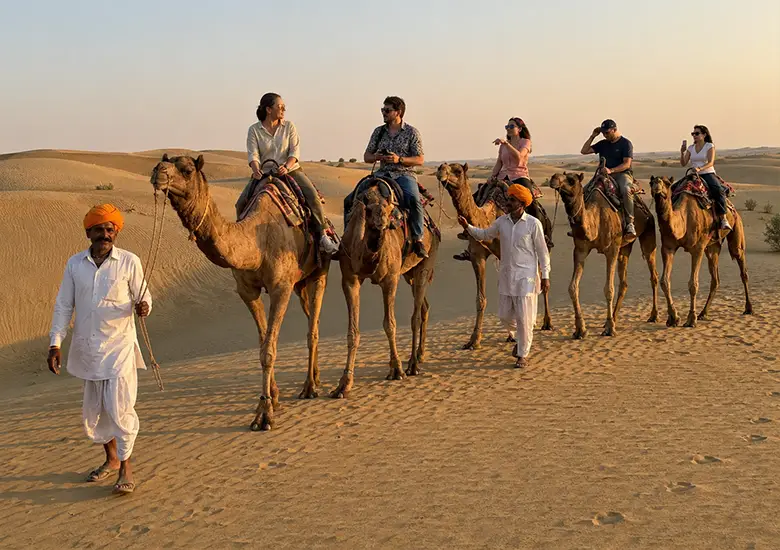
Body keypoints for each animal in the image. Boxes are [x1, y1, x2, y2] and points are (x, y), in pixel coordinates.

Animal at [151, 154, 331, 431]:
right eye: (166, 160)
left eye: (187, 169)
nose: (158, 171)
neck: (256, 243)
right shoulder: (247, 291)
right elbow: (262, 342)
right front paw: (273, 398)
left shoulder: (281, 287)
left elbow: (269, 350)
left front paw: (264, 415)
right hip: (301, 284)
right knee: (314, 319)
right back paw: (316, 378)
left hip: (319, 272)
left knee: (313, 329)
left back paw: (309, 387)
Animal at [330, 178, 439, 398]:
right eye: (369, 211)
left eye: (391, 211)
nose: (383, 225)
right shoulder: (349, 279)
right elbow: (352, 332)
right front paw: (344, 384)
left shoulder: (390, 279)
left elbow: (390, 324)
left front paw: (396, 370)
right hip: (408, 274)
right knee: (424, 307)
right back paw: (420, 355)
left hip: (427, 259)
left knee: (416, 314)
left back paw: (412, 365)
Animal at [548, 169, 659, 338]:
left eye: (572, 180)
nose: (553, 178)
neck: (596, 218)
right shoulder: (580, 250)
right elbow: (573, 287)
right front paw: (580, 329)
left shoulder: (611, 249)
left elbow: (608, 289)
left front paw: (609, 329)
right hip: (624, 247)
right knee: (624, 282)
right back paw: (613, 318)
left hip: (648, 232)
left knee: (653, 275)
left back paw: (654, 316)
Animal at [649, 175, 752, 327]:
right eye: (651, 182)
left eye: (667, 183)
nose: (656, 184)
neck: (683, 220)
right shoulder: (667, 248)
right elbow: (664, 281)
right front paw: (673, 317)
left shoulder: (697, 249)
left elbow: (693, 284)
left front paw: (691, 319)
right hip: (712, 248)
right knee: (715, 279)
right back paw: (703, 313)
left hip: (736, 230)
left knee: (742, 268)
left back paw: (748, 308)